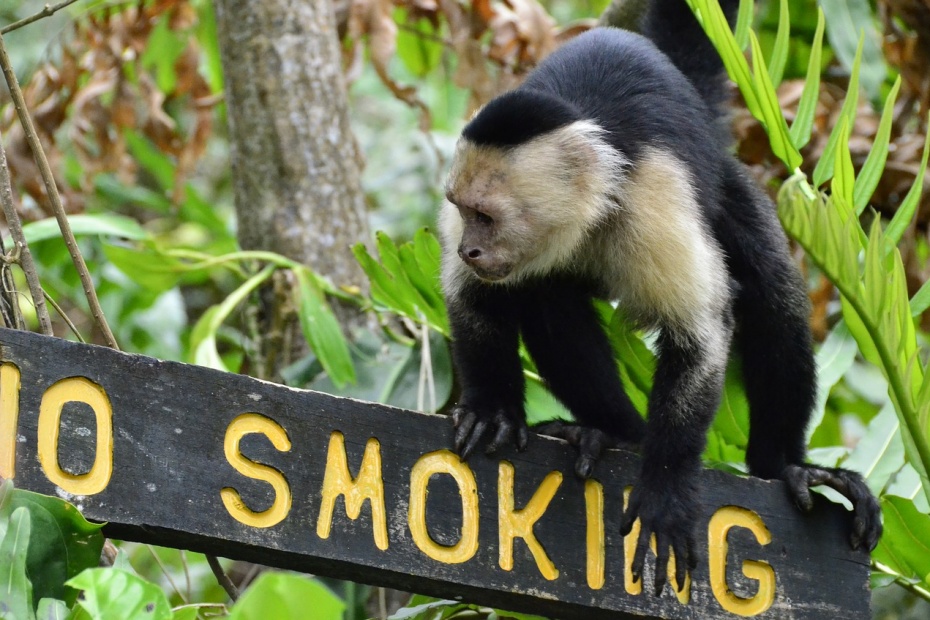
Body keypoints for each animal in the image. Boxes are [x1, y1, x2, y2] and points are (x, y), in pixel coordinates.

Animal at [438, 0, 880, 596]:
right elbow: (472, 301)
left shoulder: (653, 194)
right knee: (546, 295)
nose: (468, 249)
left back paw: (785, 465)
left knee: (772, 290)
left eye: (486, 216)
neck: (589, 207)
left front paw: (666, 491)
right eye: (463, 209)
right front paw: (491, 408)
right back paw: (611, 432)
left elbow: (699, 337)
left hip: (724, 181)